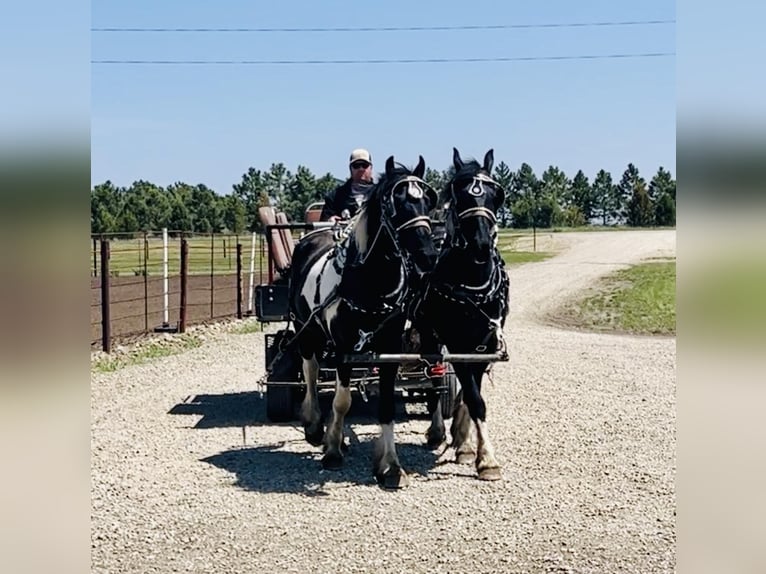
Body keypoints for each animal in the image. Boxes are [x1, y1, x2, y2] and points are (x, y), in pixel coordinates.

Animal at [284, 158, 438, 490]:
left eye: (427, 201)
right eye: (396, 204)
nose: (427, 255)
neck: (371, 282)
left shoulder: (390, 348)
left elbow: (386, 407)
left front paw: (391, 466)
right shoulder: (345, 347)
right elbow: (342, 401)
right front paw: (331, 451)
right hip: (307, 329)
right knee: (311, 371)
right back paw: (315, 426)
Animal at [414, 147, 510, 482]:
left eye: (496, 194)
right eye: (461, 195)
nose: (481, 244)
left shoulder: (483, 344)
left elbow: (473, 394)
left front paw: (469, 445)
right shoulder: (457, 343)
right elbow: (473, 396)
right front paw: (487, 459)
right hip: (429, 336)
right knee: (434, 379)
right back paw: (437, 430)